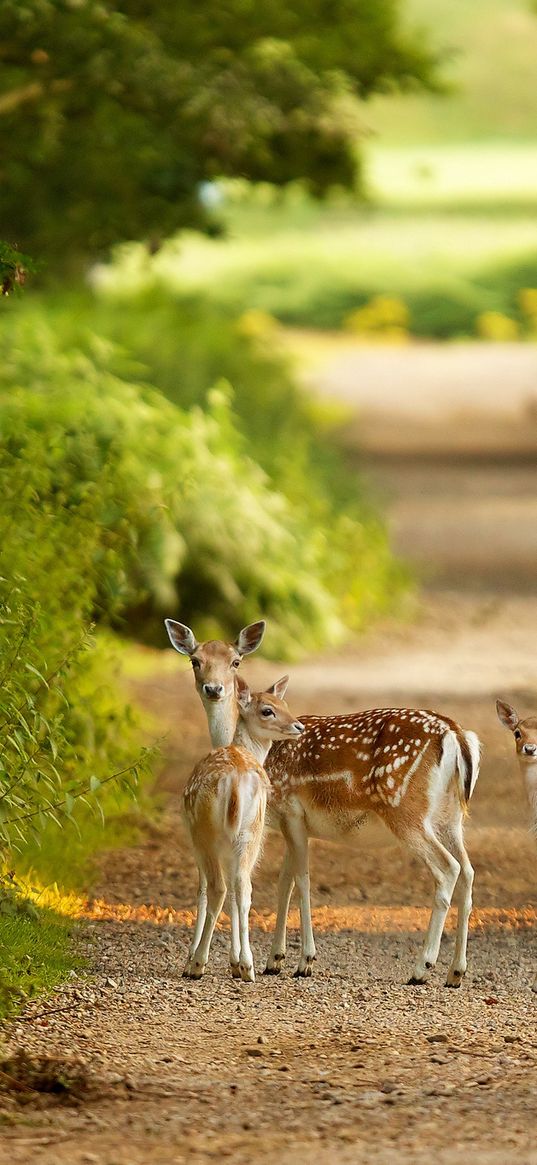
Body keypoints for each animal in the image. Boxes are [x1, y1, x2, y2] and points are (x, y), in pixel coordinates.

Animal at [181, 675, 302, 983]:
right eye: (268, 710)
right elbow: (238, 894)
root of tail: (234, 781)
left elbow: (201, 891)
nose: (299, 726)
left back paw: (198, 964)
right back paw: (248, 966)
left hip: (207, 833)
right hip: (251, 832)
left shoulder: (196, 839)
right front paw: (235, 962)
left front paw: (195, 960)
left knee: (218, 888)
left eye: (285, 704)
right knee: (243, 889)